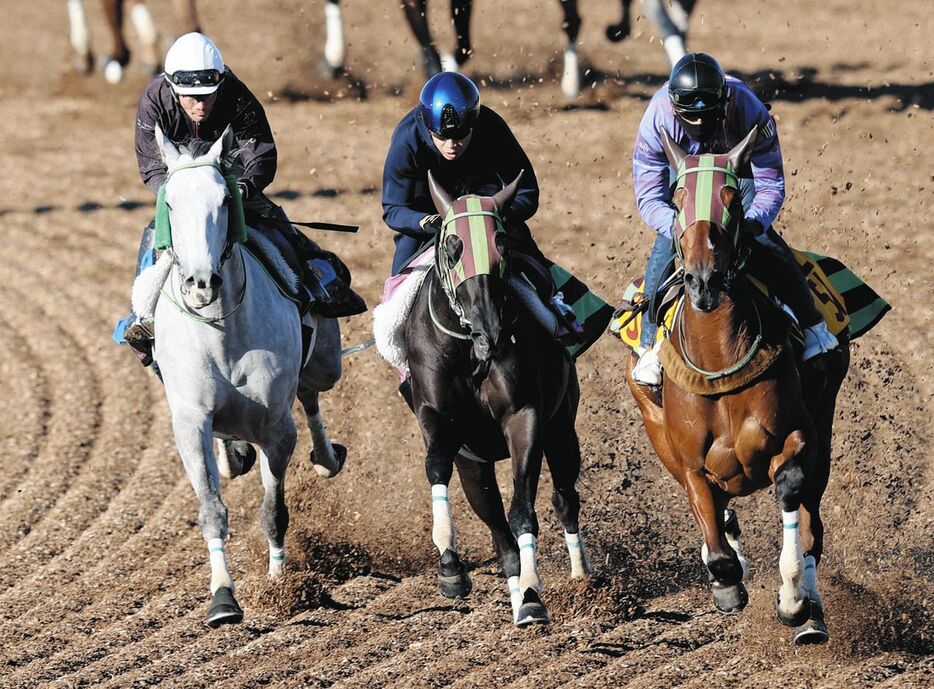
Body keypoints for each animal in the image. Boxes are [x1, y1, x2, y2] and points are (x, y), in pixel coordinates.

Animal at [151, 125, 348, 628]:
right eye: (171, 203)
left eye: (225, 199)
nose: (201, 283)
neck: (222, 330)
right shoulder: (190, 422)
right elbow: (212, 510)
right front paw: (223, 598)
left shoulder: (276, 427)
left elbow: (273, 510)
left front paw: (280, 586)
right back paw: (233, 454)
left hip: (326, 362)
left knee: (312, 393)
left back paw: (327, 457)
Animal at [402, 171, 592, 624]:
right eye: (454, 248)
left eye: (501, 246)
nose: (491, 330)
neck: (471, 351)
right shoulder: (438, 418)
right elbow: (436, 467)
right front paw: (451, 568)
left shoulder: (525, 416)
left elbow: (523, 508)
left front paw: (533, 596)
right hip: (476, 462)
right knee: (494, 524)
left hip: (562, 430)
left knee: (564, 498)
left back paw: (579, 578)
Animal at [624, 126, 852, 644]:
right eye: (678, 198)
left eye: (731, 199)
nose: (704, 280)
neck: (719, 360)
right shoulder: (689, 463)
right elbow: (716, 541)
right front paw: (727, 584)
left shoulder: (798, 436)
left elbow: (790, 491)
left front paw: (793, 601)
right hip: (654, 426)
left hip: (825, 428)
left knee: (813, 523)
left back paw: (813, 615)